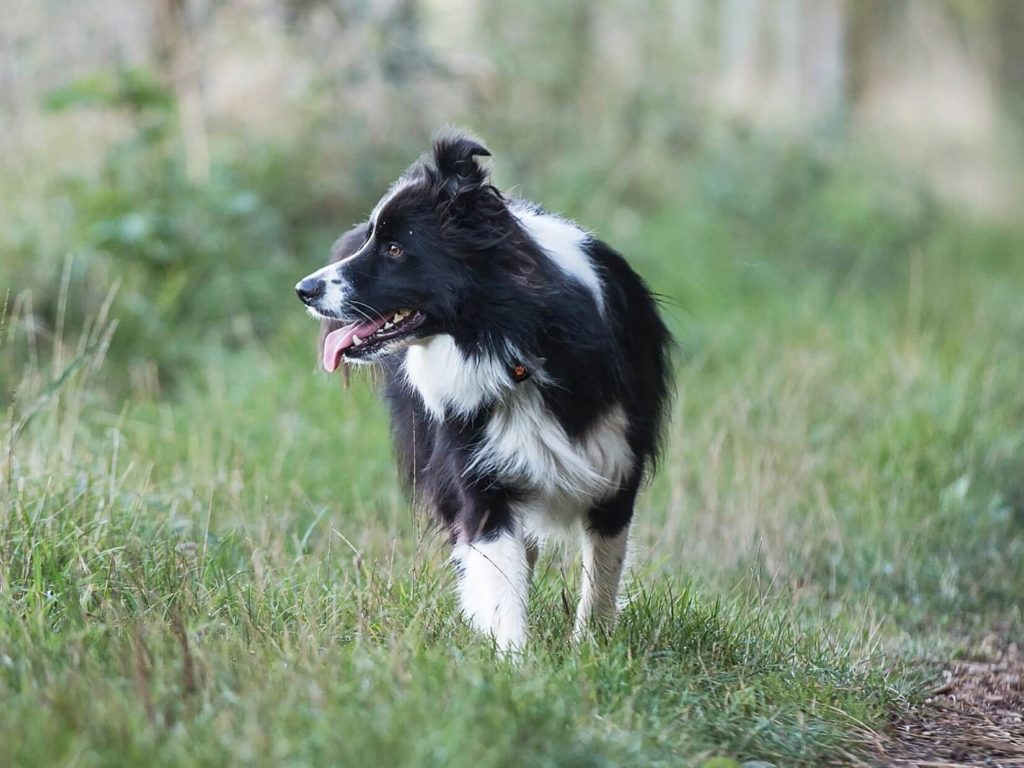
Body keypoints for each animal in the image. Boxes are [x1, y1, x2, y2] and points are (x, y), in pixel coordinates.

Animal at [294, 129, 671, 651]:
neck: (515, 340)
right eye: (372, 236)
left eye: (395, 248)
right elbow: (497, 568)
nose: (303, 289)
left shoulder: (615, 462)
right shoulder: (474, 462)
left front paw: (590, 648)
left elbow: (603, 568)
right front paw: (513, 658)